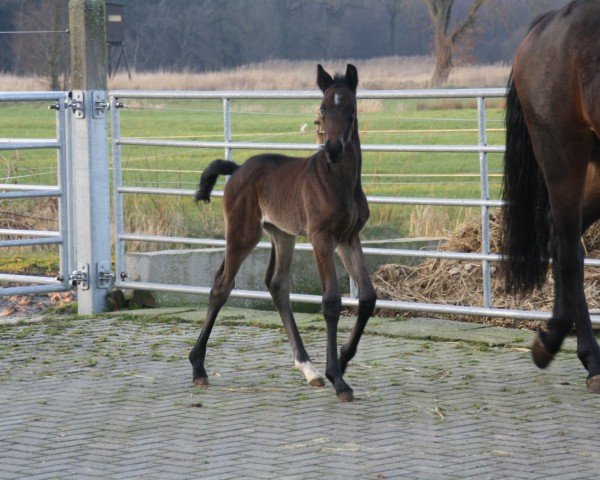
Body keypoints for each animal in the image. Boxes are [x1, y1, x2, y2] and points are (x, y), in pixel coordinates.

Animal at [189, 63, 376, 402]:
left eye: (352, 109)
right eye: (323, 108)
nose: (333, 149)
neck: (339, 179)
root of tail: (238, 168)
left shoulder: (348, 238)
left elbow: (368, 297)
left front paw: (342, 358)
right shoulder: (321, 238)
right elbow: (331, 302)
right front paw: (338, 378)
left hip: (282, 235)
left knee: (277, 285)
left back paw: (308, 368)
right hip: (243, 232)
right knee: (222, 285)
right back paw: (198, 367)